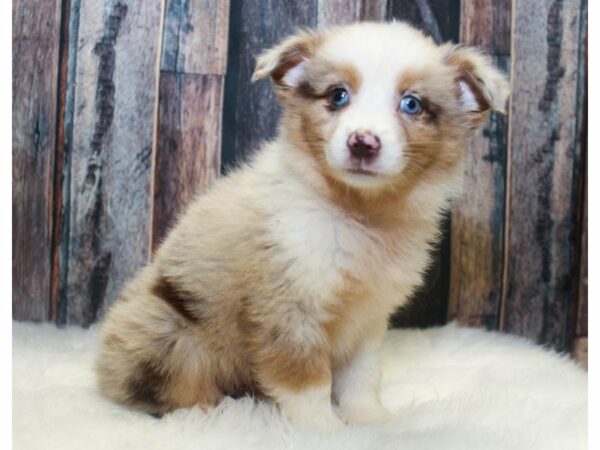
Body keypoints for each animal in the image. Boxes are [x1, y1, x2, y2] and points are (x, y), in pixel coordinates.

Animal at [96, 22, 508, 430]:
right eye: (338, 95)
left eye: (412, 104)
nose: (363, 143)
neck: (359, 211)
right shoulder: (289, 308)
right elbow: (307, 381)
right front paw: (322, 429)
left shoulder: (369, 315)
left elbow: (362, 376)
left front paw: (371, 421)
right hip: (172, 335)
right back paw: (204, 415)